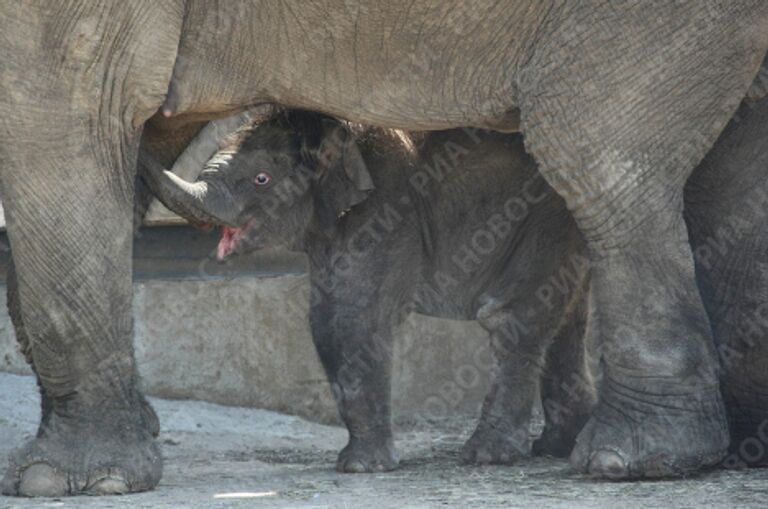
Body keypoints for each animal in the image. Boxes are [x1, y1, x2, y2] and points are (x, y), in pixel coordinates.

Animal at [147, 111, 596, 472]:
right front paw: (357, 464)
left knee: (515, 315)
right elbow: (324, 319)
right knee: (568, 317)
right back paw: (556, 447)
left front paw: (361, 468)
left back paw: (490, 456)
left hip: (547, 216)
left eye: (262, 179)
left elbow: (354, 317)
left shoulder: (386, 215)